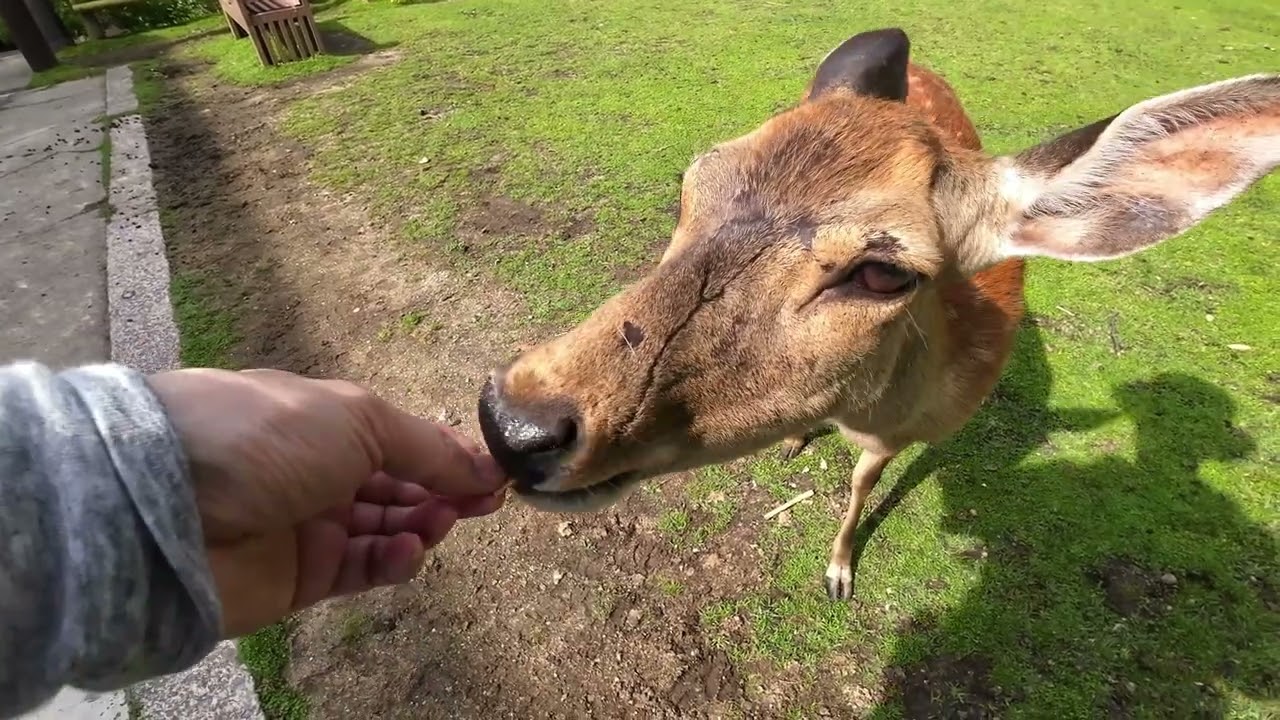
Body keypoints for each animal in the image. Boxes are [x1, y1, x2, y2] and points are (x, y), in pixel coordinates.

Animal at [477, 27, 1279, 600]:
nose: (513, 422)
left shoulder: (905, 432)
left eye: (884, 272)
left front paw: (838, 574)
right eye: (692, 180)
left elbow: (864, 481)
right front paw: (800, 454)